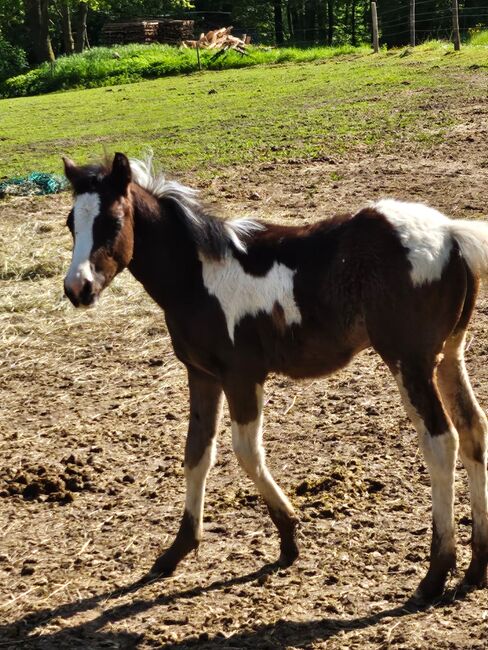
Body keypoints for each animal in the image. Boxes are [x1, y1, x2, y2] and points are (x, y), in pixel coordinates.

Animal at [63, 152, 488, 596]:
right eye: (71, 223)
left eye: (112, 222)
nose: (77, 288)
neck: (198, 277)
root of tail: (452, 234)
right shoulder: (202, 375)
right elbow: (196, 454)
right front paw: (177, 551)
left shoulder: (241, 376)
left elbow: (247, 452)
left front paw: (288, 537)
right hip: (449, 355)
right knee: (473, 428)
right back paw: (475, 569)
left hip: (410, 362)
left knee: (441, 441)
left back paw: (436, 573)